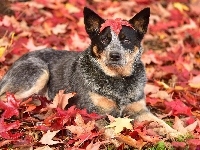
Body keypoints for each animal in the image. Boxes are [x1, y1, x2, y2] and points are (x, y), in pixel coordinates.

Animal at [0, 7, 180, 138]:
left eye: (126, 40)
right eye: (104, 39)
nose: (115, 55)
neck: (118, 80)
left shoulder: (139, 110)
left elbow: (160, 122)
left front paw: (178, 133)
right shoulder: (94, 113)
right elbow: (111, 131)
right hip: (40, 72)